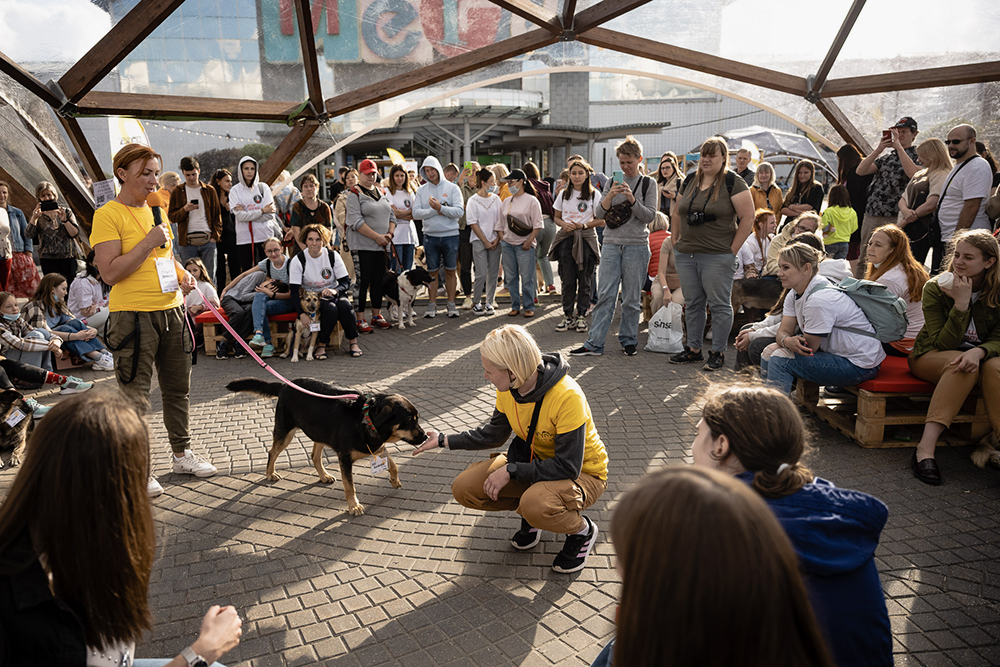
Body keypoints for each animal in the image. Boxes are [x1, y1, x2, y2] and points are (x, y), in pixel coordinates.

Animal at [225, 378, 424, 516]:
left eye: (417, 419)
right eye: (409, 420)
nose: (425, 437)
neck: (366, 419)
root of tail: (285, 386)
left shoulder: (376, 448)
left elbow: (394, 465)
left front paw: (394, 480)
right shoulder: (345, 458)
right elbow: (350, 486)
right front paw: (354, 506)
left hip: (320, 432)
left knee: (314, 456)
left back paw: (324, 476)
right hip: (285, 433)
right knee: (272, 452)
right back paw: (270, 473)